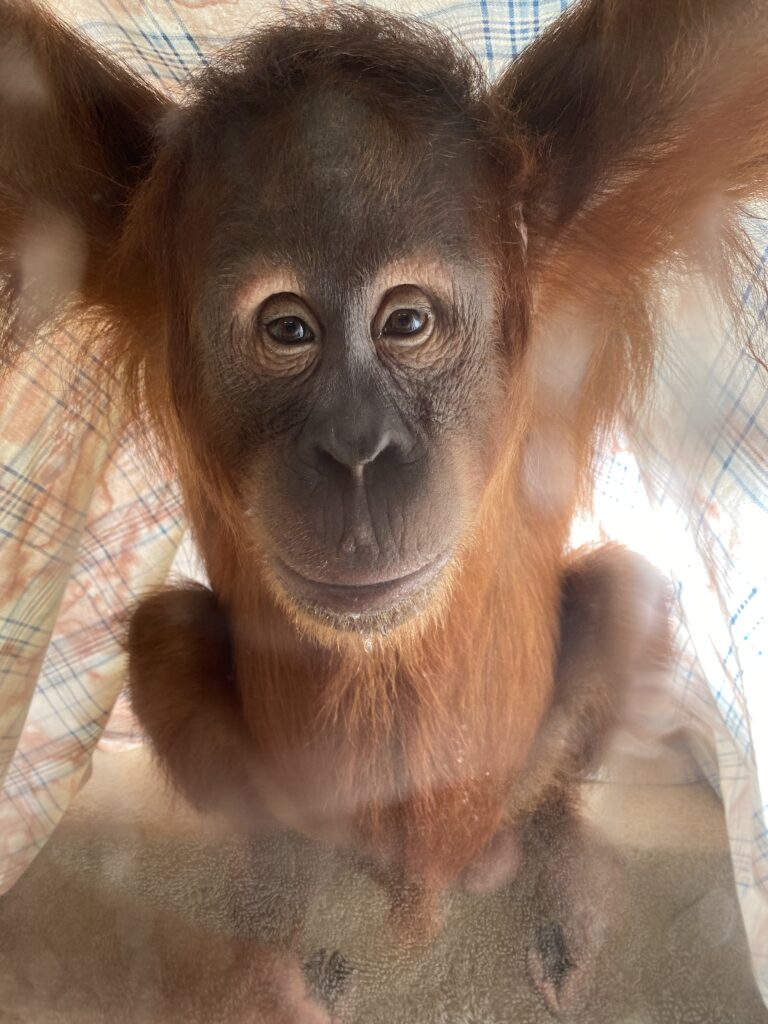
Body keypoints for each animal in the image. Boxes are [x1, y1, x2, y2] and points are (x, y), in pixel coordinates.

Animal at [1, 0, 766, 1012]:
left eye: (406, 321)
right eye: (289, 328)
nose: (358, 448)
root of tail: (421, 883)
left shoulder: (582, 208)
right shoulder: (121, 236)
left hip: (504, 785)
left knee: (622, 587)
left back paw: (551, 855)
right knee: (166, 633)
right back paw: (286, 902)